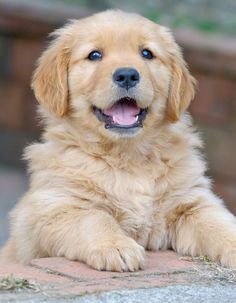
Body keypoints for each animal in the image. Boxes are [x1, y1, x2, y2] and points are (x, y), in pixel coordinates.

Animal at [0, 10, 236, 270]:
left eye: (147, 53)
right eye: (94, 55)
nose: (127, 75)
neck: (127, 156)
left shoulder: (193, 202)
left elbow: (219, 223)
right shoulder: (49, 208)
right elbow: (92, 217)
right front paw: (115, 245)